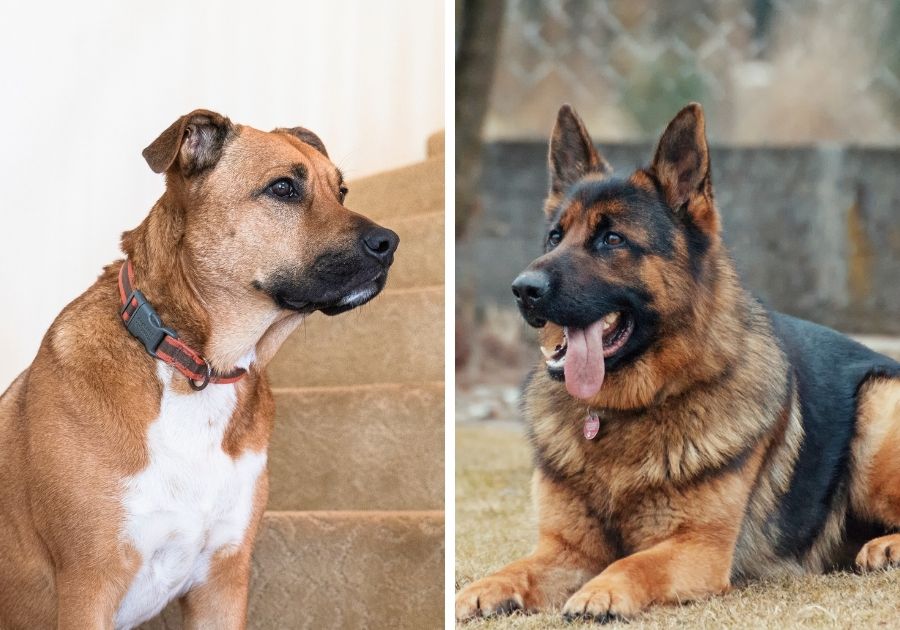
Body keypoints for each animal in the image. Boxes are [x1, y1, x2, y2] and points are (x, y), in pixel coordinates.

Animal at [0, 111, 398, 628]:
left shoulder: (223, 582)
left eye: (342, 190)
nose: (390, 243)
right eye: (284, 188)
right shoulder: (88, 587)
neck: (198, 366)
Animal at [458, 102, 900, 624]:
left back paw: (885, 546)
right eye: (554, 237)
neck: (624, 412)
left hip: (877, 408)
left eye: (611, 239)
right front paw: (485, 587)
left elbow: (634, 563)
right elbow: (518, 567)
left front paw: (600, 592)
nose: (522, 289)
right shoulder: (565, 549)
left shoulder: (696, 549)